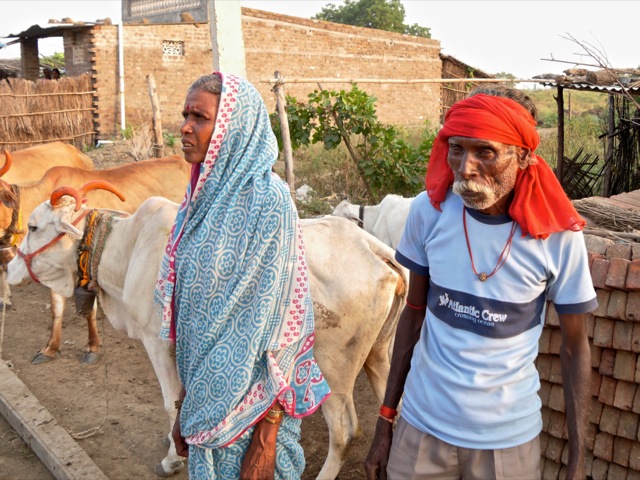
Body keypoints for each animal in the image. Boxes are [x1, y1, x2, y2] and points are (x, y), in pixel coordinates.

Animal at [7, 187, 408, 480]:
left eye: (34, 227)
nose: (9, 267)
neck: (128, 248)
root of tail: (373, 249)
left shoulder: (157, 343)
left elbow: (171, 404)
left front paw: (172, 460)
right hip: (379, 355)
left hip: (331, 367)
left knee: (345, 432)